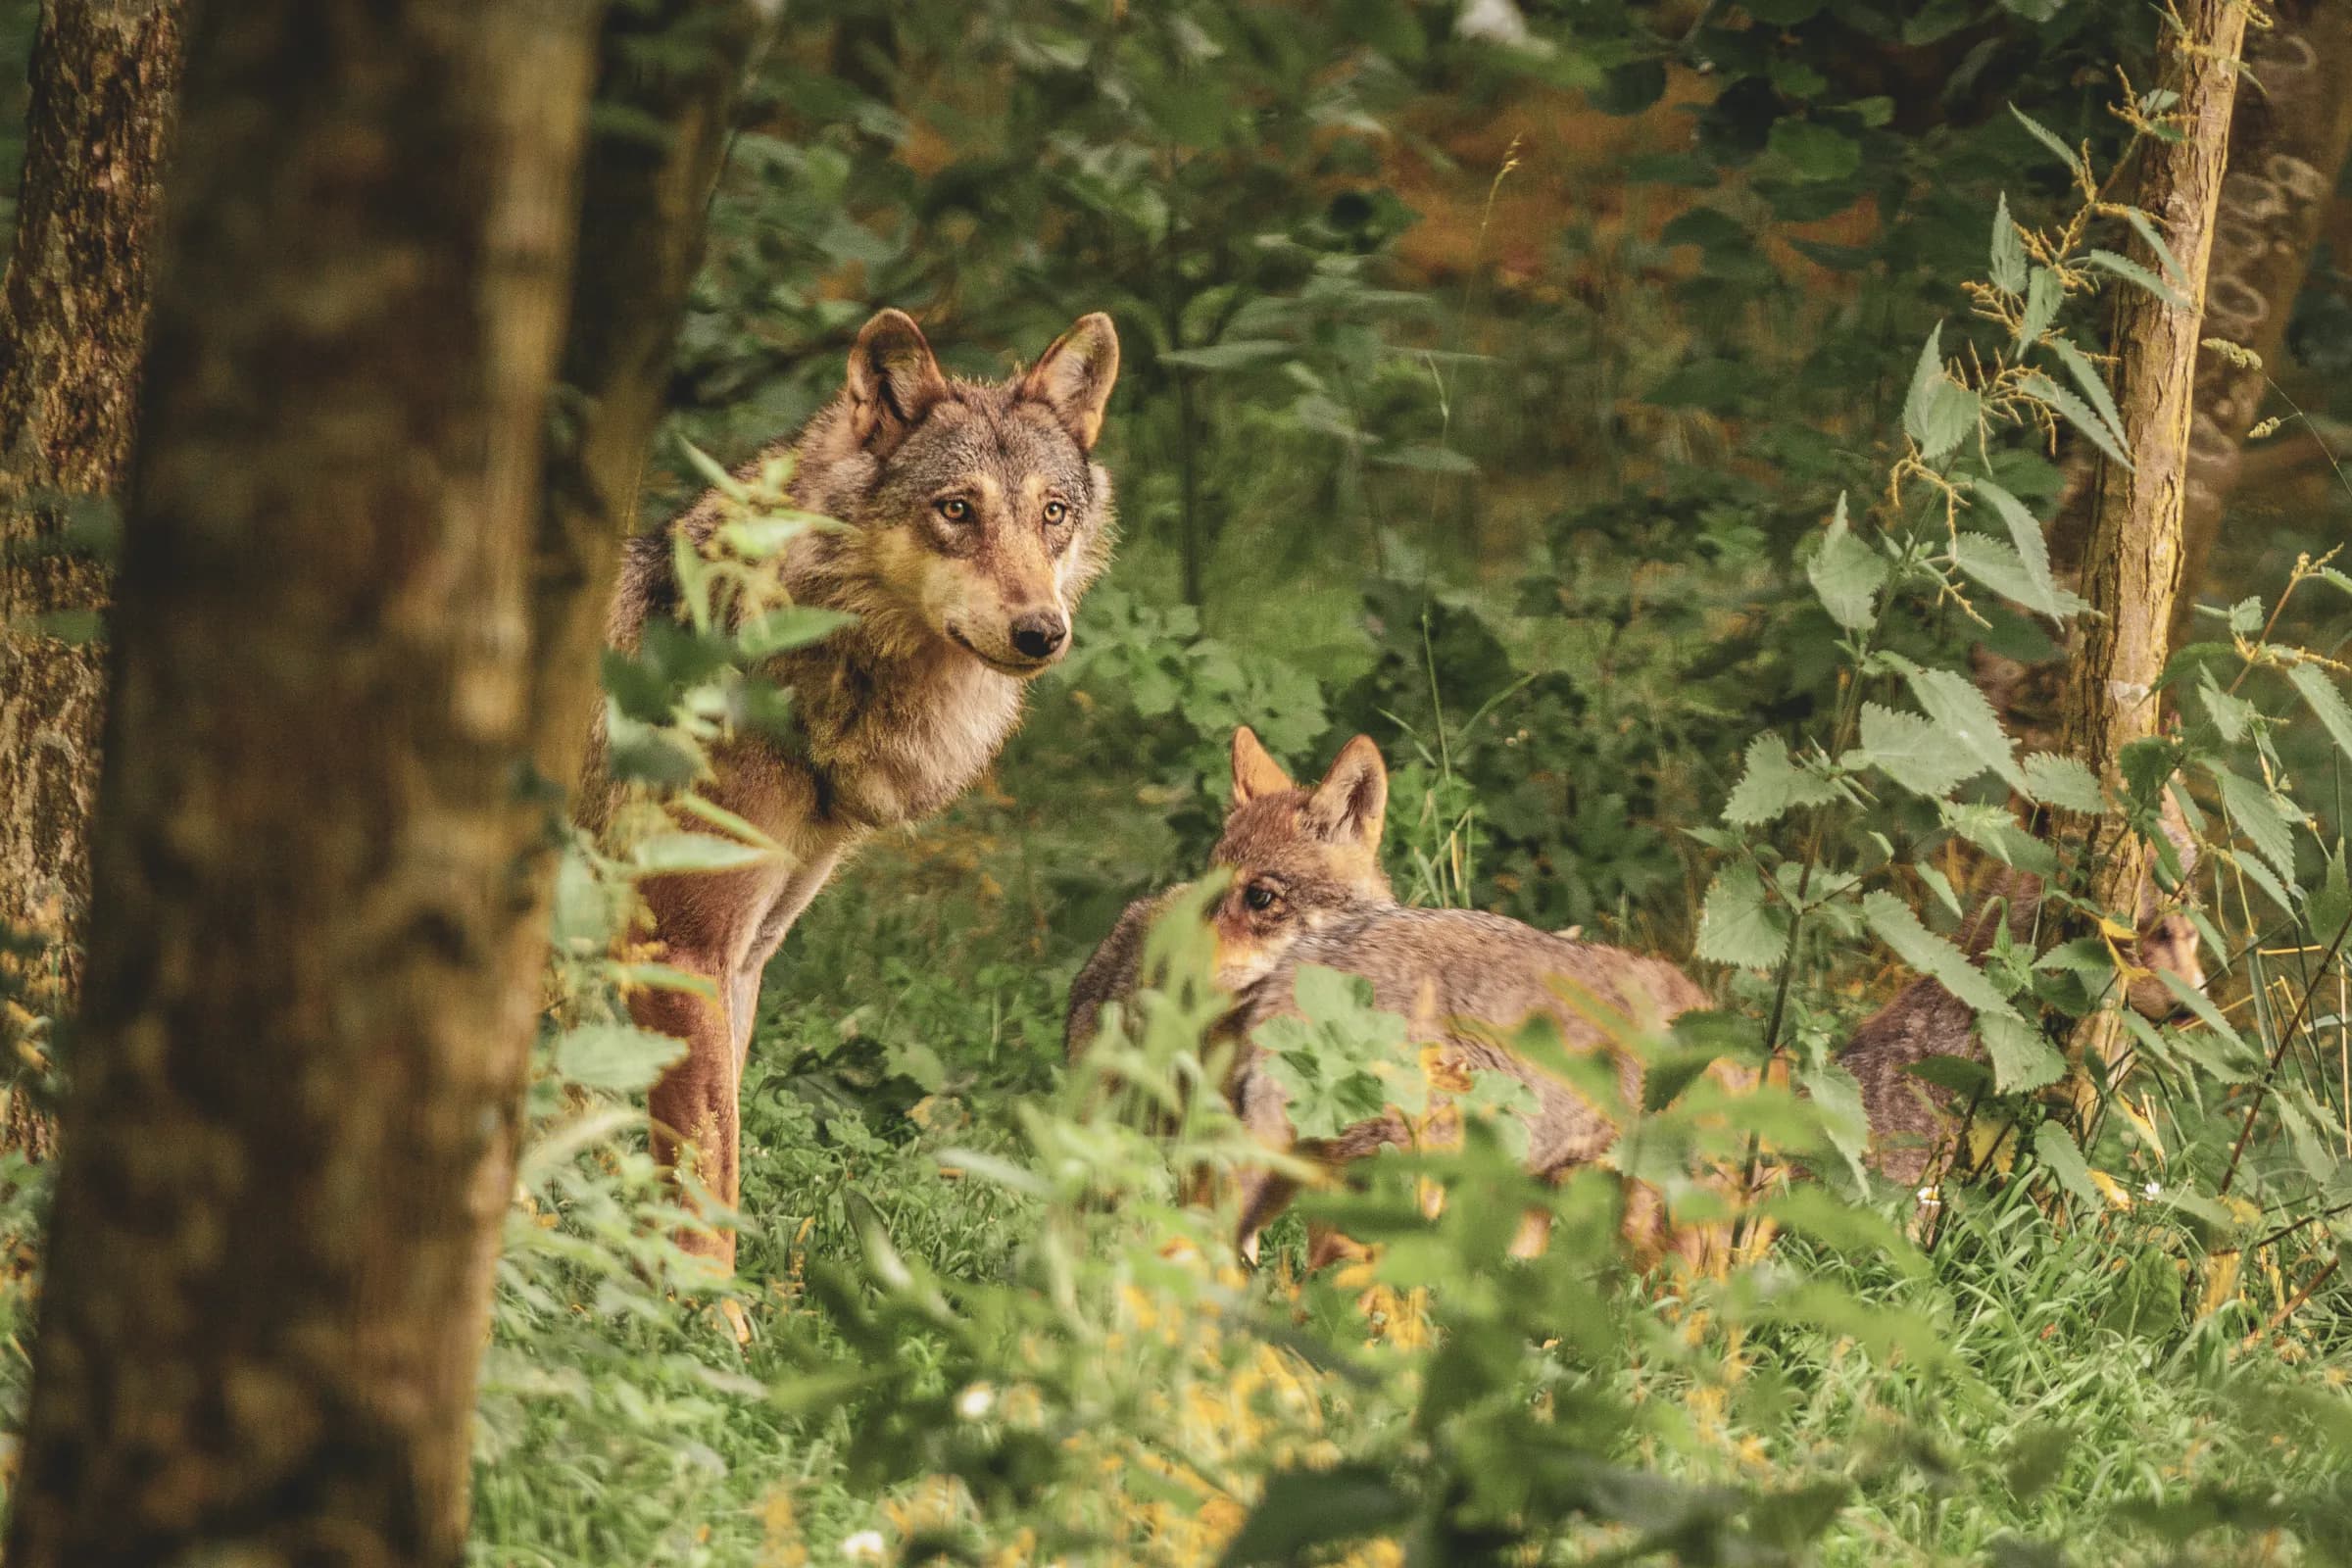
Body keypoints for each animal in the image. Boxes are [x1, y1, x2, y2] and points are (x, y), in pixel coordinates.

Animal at [592, 307, 1120, 1269]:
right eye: (957, 510)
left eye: (1052, 513)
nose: (1042, 632)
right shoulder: (679, 955)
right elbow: (705, 1180)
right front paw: (704, 1311)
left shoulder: (746, 960)